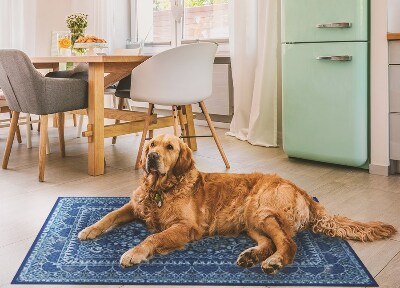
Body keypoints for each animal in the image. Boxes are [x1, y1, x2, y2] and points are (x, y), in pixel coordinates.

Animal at [79, 134, 396, 274]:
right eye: (152, 145)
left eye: (170, 147)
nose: (152, 158)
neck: (161, 189)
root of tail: (302, 190)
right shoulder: (135, 206)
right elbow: (110, 215)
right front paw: (89, 230)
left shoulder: (186, 227)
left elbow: (154, 237)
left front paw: (134, 253)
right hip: (252, 221)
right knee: (269, 242)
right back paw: (251, 256)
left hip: (262, 210)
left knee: (288, 243)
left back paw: (274, 262)